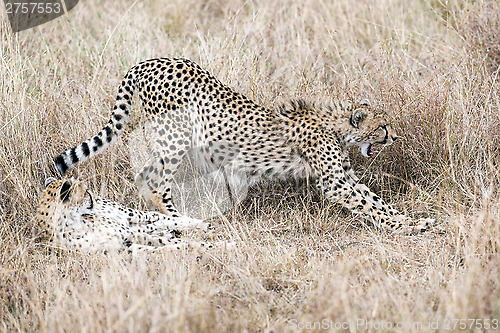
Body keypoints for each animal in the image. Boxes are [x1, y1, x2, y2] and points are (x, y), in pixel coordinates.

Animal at [35, 176, 211, 252]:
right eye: (86, 192)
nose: (95, 198)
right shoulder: (121, 248)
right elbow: (157, 248)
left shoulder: (128, 235)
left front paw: (207, 245)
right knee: (156, 225)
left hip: (131, 215)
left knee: (163, 217)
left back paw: (201, 224)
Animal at [54, 57, 436, 233]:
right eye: (382, 127)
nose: (395, 137)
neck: (336, 124)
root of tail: (152, 60)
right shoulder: (336, 183)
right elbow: (372, 206)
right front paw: (407, 227)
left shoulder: (346, 177)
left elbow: (376, 201)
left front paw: (413, 220)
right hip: (176, 138)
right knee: (158, 182)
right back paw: (182, 222)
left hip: (166, 143)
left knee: (145, 176)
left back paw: (157, 219)